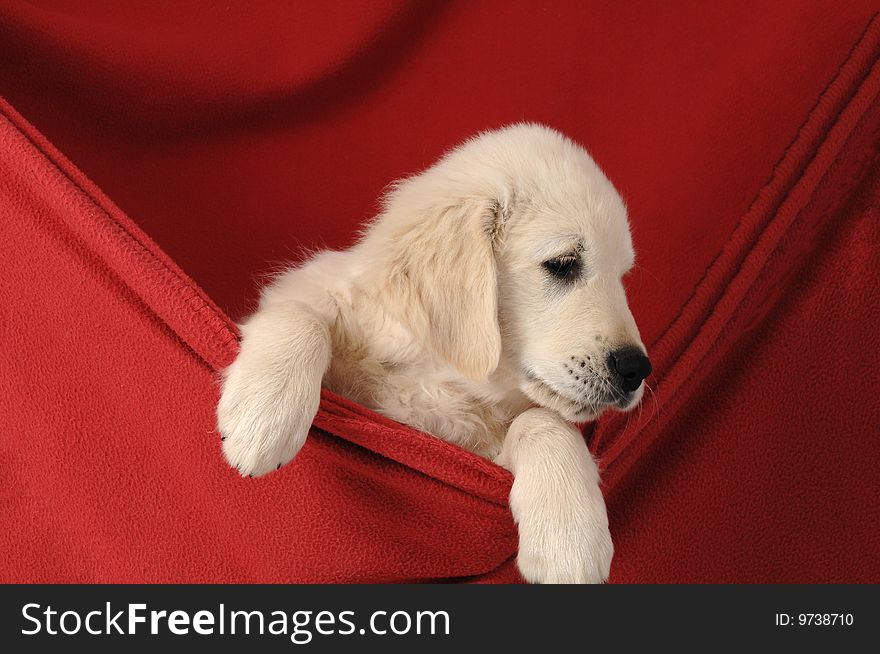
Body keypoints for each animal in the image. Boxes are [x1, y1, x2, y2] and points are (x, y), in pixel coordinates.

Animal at [217, 124, 648, 584]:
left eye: (622, 277)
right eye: (563, 264)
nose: (637, 369)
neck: (441, 375)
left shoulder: (480, 452)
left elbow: (542, 419)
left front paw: (568, 540)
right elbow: (302, 314)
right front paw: (262, 416)